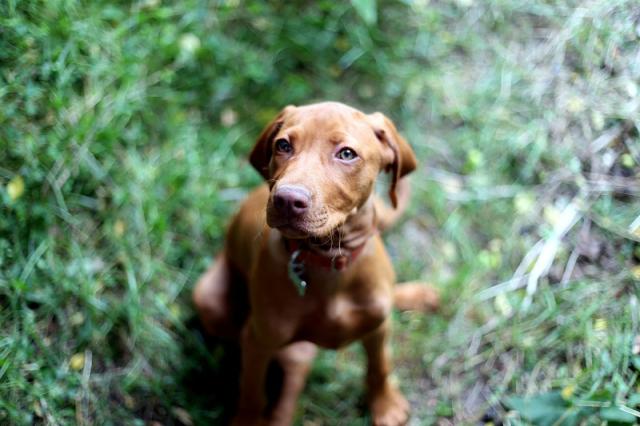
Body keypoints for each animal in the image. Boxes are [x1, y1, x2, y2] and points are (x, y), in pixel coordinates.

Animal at [192, 101, 438, 424]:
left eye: (346, 154)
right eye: (283, 145)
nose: (286, 200)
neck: (330, 260)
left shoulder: (377, 326)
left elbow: (379, 366)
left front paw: (384, 405)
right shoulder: (257, 340)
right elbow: (252, 392)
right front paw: (247, 420)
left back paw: (420, 295)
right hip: (210, 300)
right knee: (294, 372)